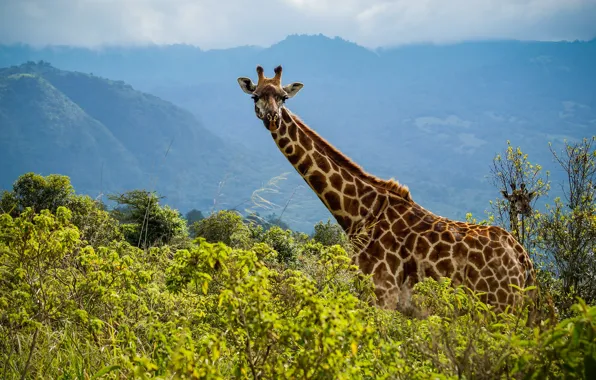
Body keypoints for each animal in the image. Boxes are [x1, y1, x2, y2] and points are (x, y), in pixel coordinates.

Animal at [236, 66, 536, 314]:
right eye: (255, 97)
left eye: (284, 98)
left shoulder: (384, 293)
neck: (360, 213)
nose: (273, 118)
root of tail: (523, 260)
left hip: (500, 308)